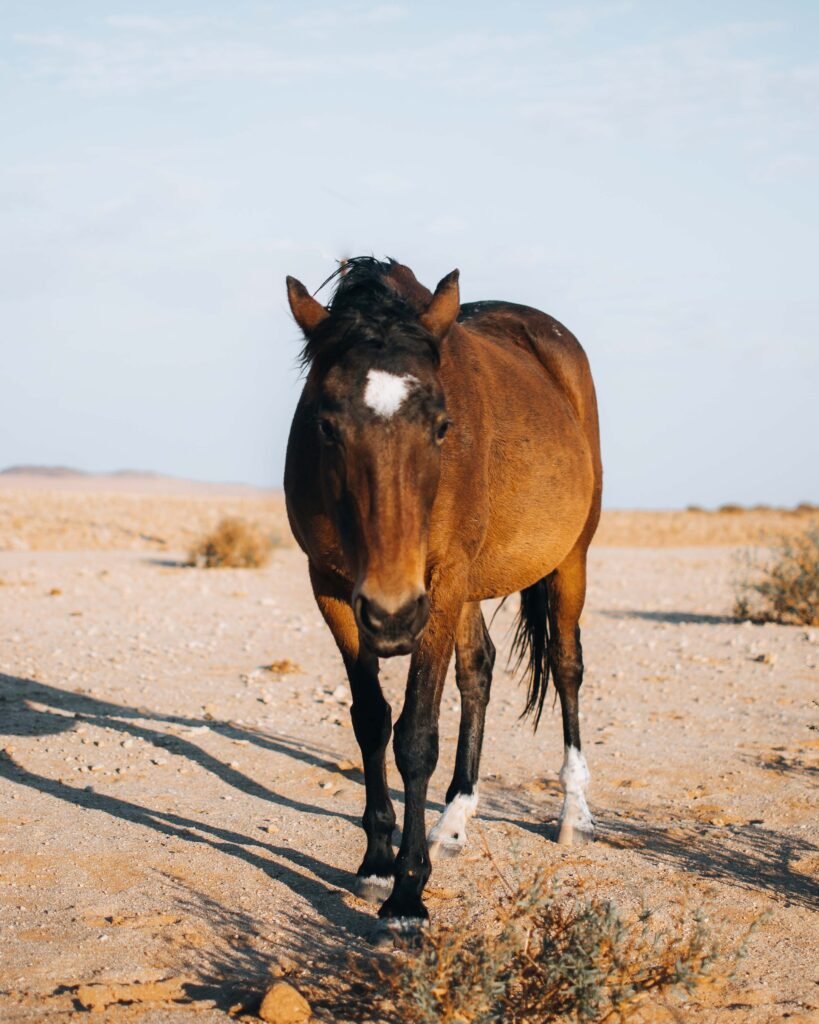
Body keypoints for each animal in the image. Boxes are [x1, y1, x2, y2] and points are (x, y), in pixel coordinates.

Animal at [283, 257, 602, 944]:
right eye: (325, 423)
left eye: (441, 425)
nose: (393, 612)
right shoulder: (331, 587)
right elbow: (371, 720)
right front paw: (377, 862)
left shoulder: (441, 579)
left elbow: (416, 737)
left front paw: (407, 896)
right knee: (478, 670)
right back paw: (454, 820)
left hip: (567, 560)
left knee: (567, 667)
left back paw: (574, 813)